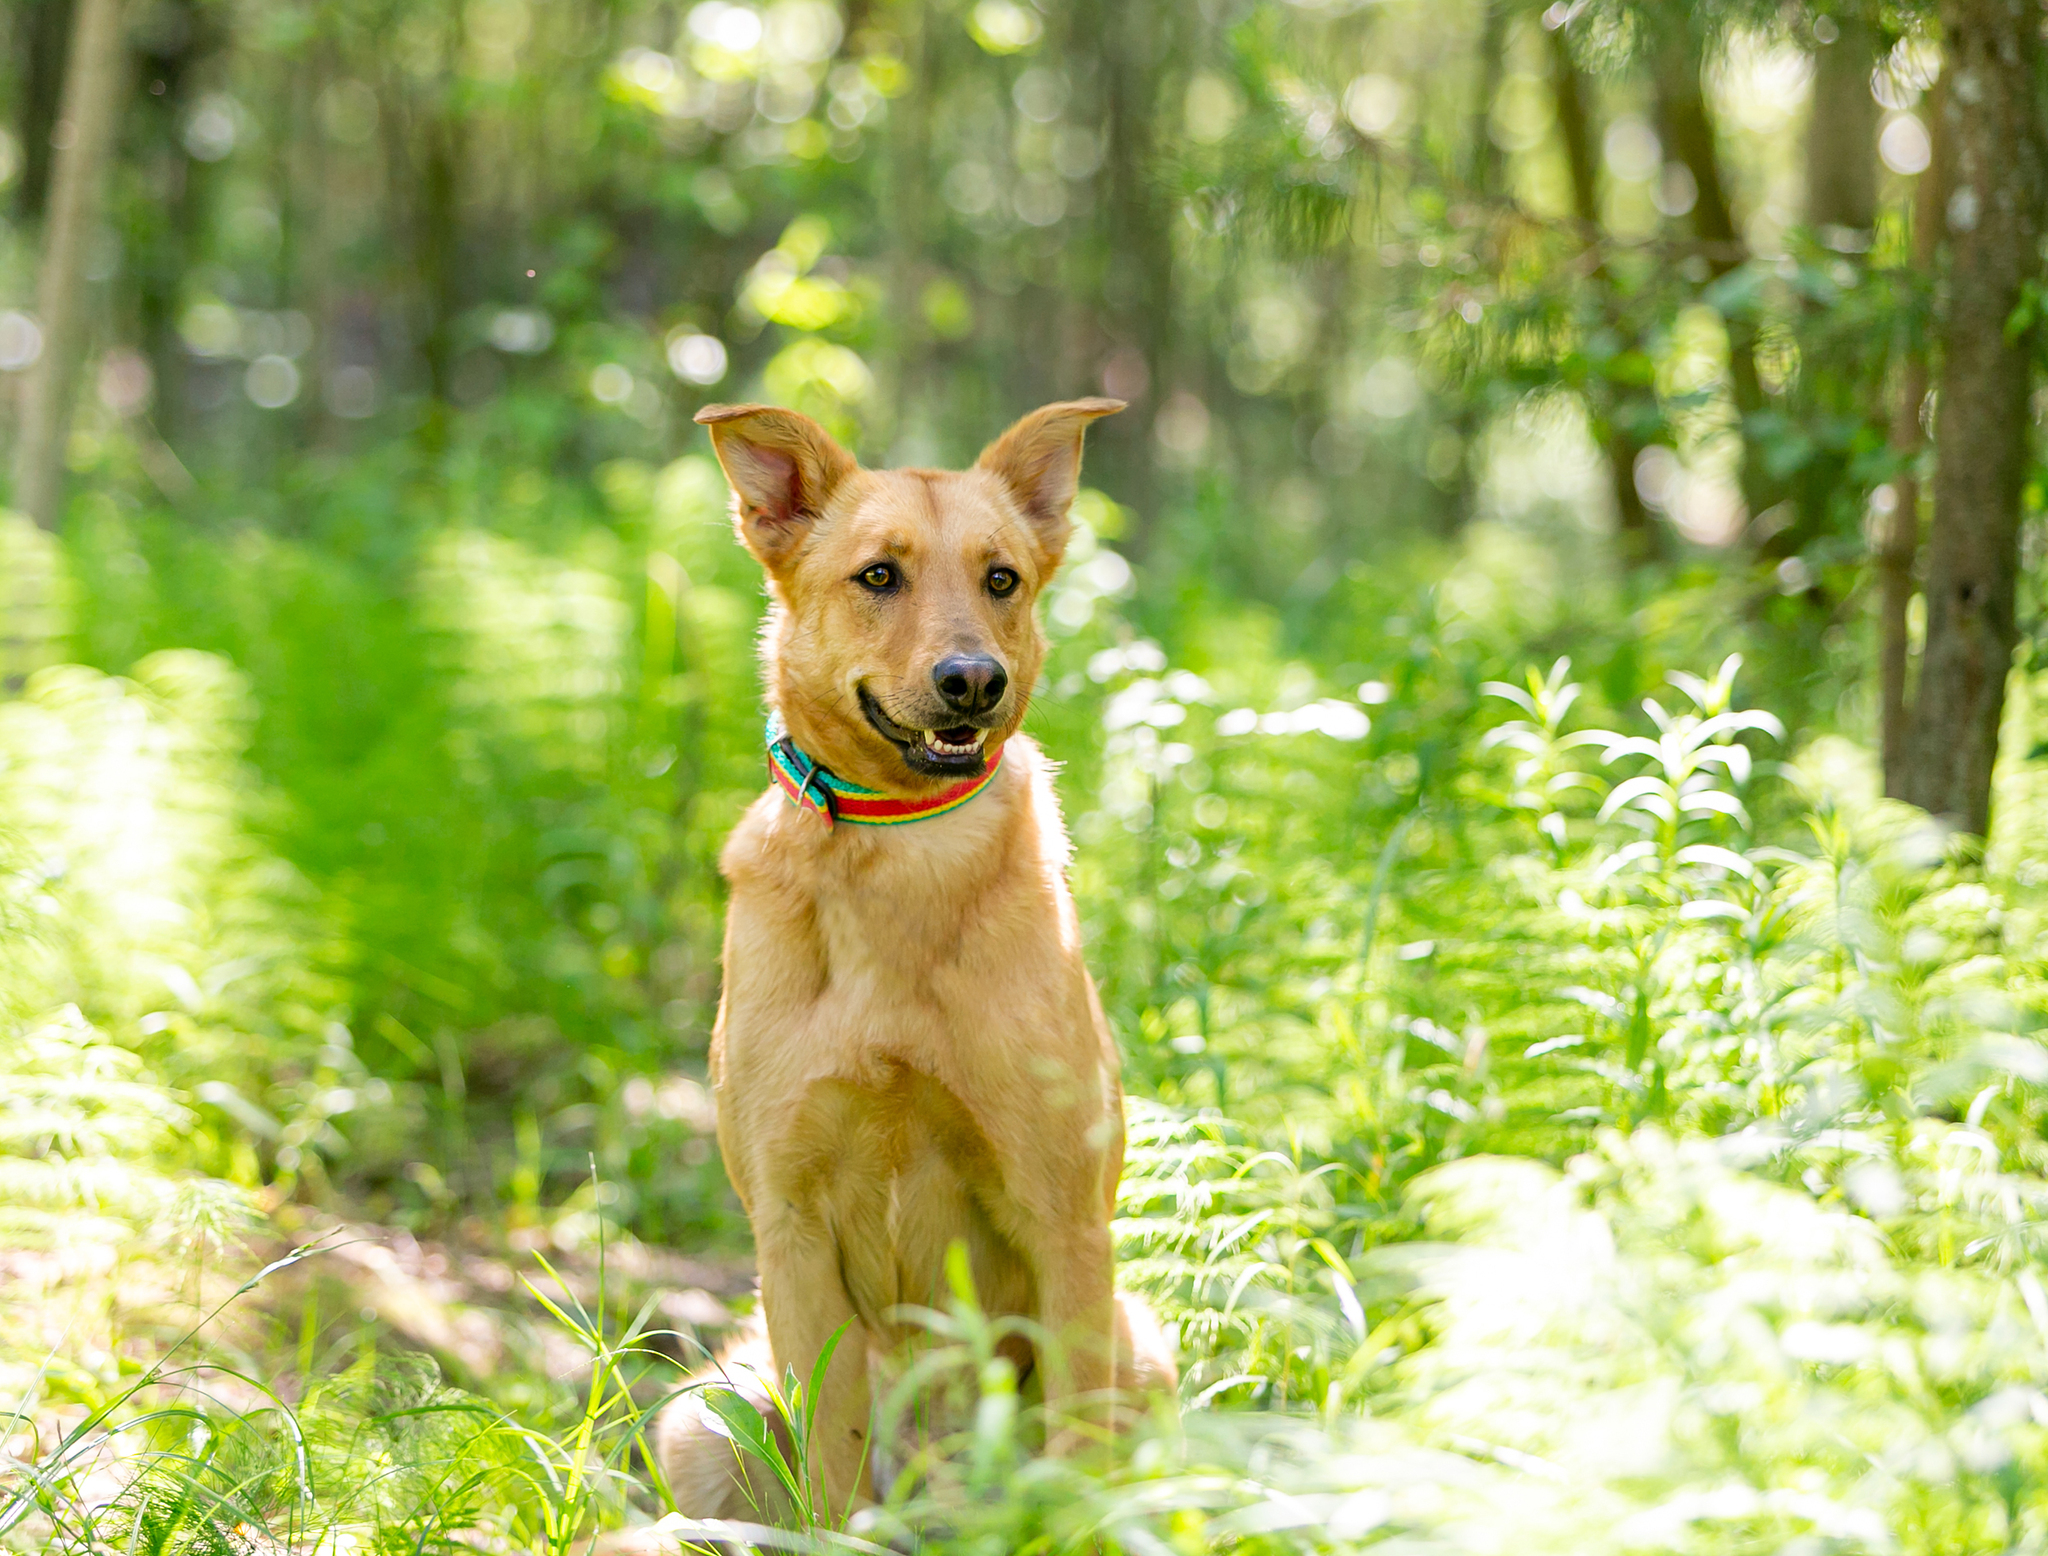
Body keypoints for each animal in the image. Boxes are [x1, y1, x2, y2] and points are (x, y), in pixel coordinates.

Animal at [647, 397, 1179, 1523]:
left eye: (1001, 579)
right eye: (878, 575)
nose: (971, 680)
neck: (901, 851)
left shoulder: (1063, 1219)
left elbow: (1076, 1460)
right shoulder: (791, 1229)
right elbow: (831, 1464)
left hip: (1140, 1347)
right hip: (705, 1408)